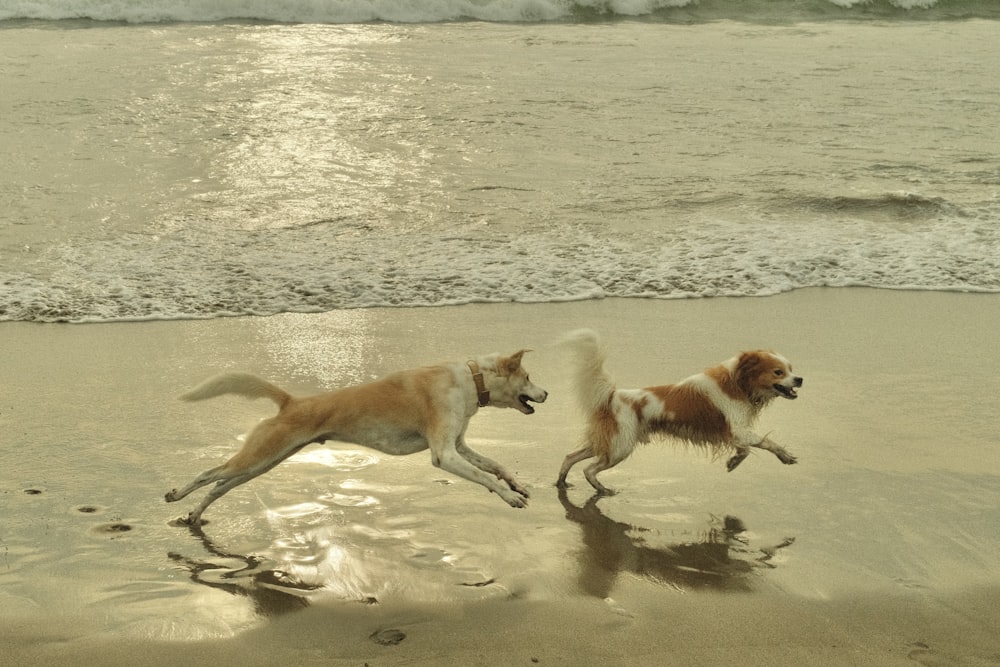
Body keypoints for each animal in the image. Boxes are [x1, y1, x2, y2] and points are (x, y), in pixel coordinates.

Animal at [169, 352, 552, 524]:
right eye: (528, 376)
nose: (547, 393)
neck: (471, 380)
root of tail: (291, 401)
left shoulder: (458, 447)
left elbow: (495, 465)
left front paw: (516, 486)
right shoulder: (444, 454)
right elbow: (485, 476)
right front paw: (509, 497)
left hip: (264, 462)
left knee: (219, 487)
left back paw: (194, 515)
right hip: (259, 456)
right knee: (208, 474)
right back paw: (176, 495)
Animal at [560, 330, 800, 496]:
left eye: (791, 369)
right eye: (778, 372)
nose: (800, 379)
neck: (737, 383)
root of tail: (611, 395)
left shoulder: (735, 432)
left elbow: (745, 450)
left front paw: (733, 462)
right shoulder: (739, 430)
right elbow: (766, 443)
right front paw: (785, 456)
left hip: (608, 442)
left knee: (570, 456)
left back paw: (562, 481)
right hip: (620, 447)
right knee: (589, 469)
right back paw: (602, 489)